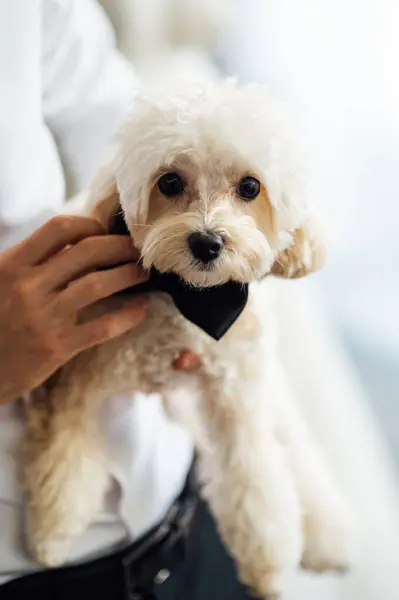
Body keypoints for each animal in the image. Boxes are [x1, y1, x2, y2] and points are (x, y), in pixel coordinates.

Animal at [21, 81, 356, 600]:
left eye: (250, 187)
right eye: (170, 183)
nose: (207, 242)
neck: (185, 301)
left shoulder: (235, 397)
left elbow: (256, 483)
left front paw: (268, 564)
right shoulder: (80, 375)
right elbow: (65, 459)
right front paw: (52, 534)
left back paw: (328, 534)